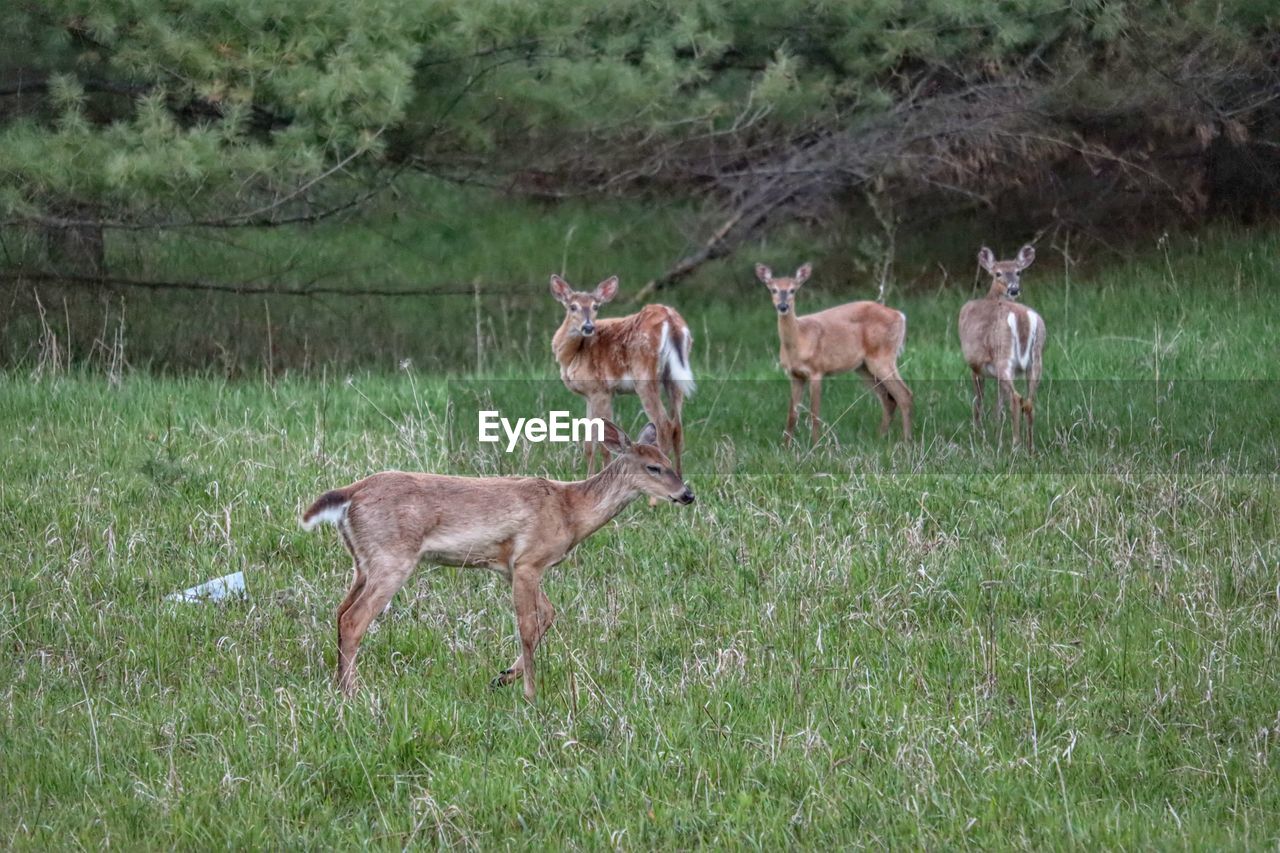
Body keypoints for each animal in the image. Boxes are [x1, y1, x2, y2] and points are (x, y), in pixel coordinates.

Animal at [300, 417, 696, 696]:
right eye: (653, 467)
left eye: (669, 460)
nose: (687, 494)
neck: (570, 511)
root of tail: (351, 493)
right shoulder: (528, 561)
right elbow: (528, 625)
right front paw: (530, 692)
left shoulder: (510, 567)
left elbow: (549, 614)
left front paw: (504, 676)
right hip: (392, 557)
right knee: (355, 619)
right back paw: (351, 693)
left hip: (363, 561)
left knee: (340, 612)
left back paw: (339, 684)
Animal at [547, 279, 696, 479]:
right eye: (573, 306)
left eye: (595, 306)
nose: (588, 327)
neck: (574, 354)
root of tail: (670, 319)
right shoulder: (591, 394)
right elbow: (588, 443)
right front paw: (589, 478)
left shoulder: (601, 390)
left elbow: (603, 443)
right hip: (673, 378)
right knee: (678, 427)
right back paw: (679, 478)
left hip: (644, 375)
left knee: (664, 425)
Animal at [752, 262, 916, 440]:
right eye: (773, 289)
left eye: (792, 290)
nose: (783, 306)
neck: (800, 338)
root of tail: (900, 316)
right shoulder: (795, 375)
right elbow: (791, 415)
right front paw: (785, 445)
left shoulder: (817, 370)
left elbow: (814, 414)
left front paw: (816, 445)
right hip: (863, 366)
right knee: (888, 398)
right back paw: (880, 437)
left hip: (882, 356)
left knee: (904, 394)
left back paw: (907, 440)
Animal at [962, 242, 1049, 448]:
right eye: (998, 273)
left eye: (1018, 272)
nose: (1014, 289)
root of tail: (1023, 318)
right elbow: (999, 403)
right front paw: (997, 430)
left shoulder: (976, 366)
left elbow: (979, 399)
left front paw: (978, 431)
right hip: (1036, 360)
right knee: (1029, 401)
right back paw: (1030, 446)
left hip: (1003, 356)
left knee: (1017, 399)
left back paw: (1016, 445)